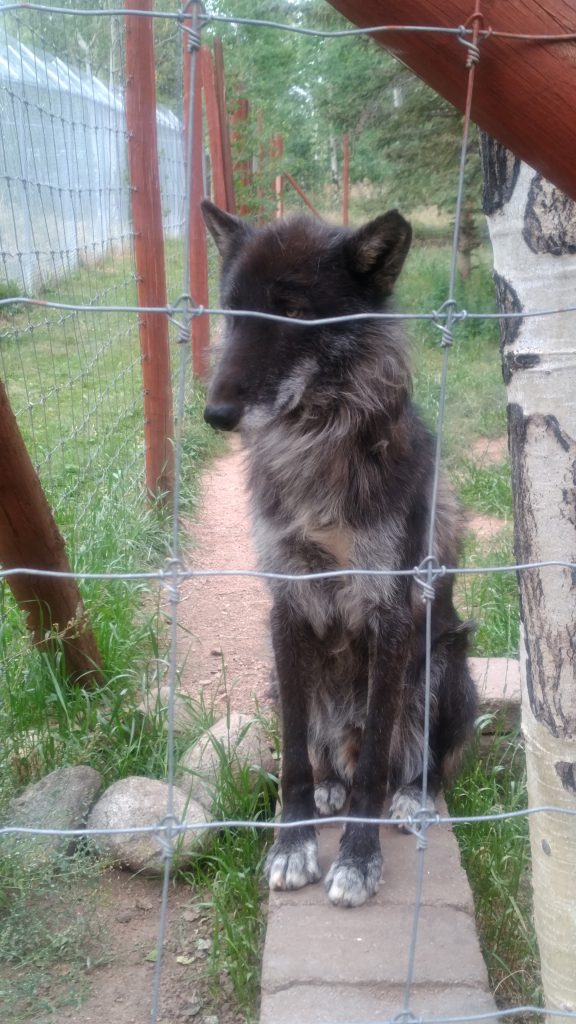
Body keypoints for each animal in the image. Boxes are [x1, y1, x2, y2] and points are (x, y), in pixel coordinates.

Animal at [199, 199, 473, 905]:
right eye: (232, 312)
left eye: (293, 312)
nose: (216, 414)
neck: (316, 443)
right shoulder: (286, 608)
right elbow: (295, 752)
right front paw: (293, 843)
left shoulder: (391, 615)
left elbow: (376, 760)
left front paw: (358, 859)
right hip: (278, 674)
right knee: (328, 756)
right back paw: (330, 784)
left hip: (448, 666)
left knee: (416, 762)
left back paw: (411, 797)